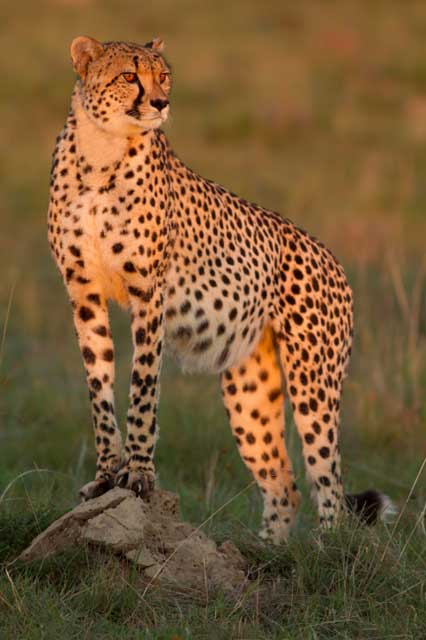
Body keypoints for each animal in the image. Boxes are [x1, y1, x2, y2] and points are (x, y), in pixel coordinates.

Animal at [47, 35, 393, 544]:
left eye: (163, 75)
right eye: (129, 75)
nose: (160, 102)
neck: (100, 152)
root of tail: (332, 257)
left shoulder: (148, 295)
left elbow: (142, 388)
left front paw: (139, 475)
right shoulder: (84, 292)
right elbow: (100, 389)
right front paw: (106, 475)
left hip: (314, 381)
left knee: (327, 478)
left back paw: (327, 549)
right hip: (249, 389)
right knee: (284, 483)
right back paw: (269, 551)